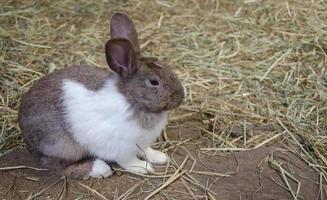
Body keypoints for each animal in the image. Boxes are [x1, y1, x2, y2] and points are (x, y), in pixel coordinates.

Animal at [18, 12, 186, 180]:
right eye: (153, 82)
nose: (181, 96)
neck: (131, 100)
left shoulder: (142, 143)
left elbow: (147, 151)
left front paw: (160, 157)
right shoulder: (122, 148)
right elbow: (129, 161)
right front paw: (144, 168)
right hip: (63, 146)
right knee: (57, 166)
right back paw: (101, 169)